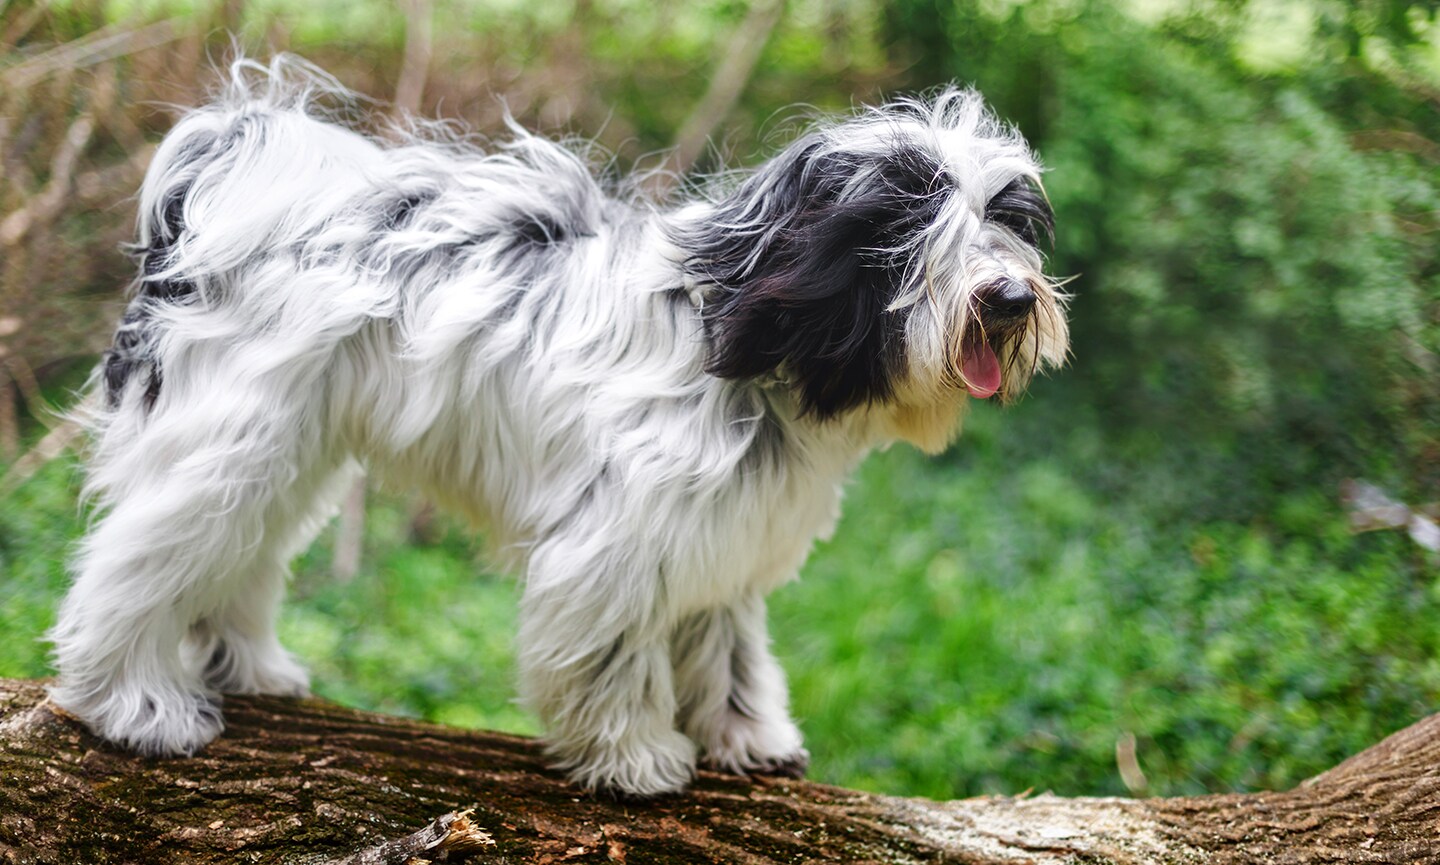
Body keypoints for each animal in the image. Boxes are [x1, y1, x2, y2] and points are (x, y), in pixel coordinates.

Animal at [50, 55, 1065, 794]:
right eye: (906, 221)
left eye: (1006, 219)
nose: (1011, 298)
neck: (740, 337)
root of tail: (236, 179)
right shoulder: (615, 540)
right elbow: (612, 653)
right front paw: (634, 756)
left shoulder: (723, 533)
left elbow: (728, 644)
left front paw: (746, 731)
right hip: (228, 439)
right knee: (136, 563)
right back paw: (134, 702)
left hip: (281, 449)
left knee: (239, 555)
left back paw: (248, 664)